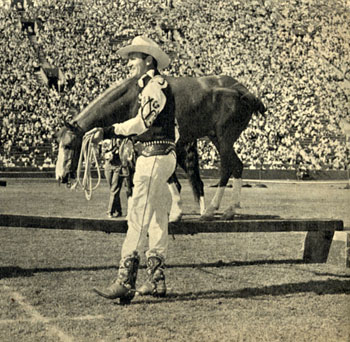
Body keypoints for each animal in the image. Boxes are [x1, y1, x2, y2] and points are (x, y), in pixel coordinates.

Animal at [55, 75, 266, 219]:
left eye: (68, 145)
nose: (60, 176)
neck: (131, 98)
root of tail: (244, 92)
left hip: (224, 138)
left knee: (228, 168)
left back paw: (214, 209)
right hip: (217, 138)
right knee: (235, 167)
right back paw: (227, 208)